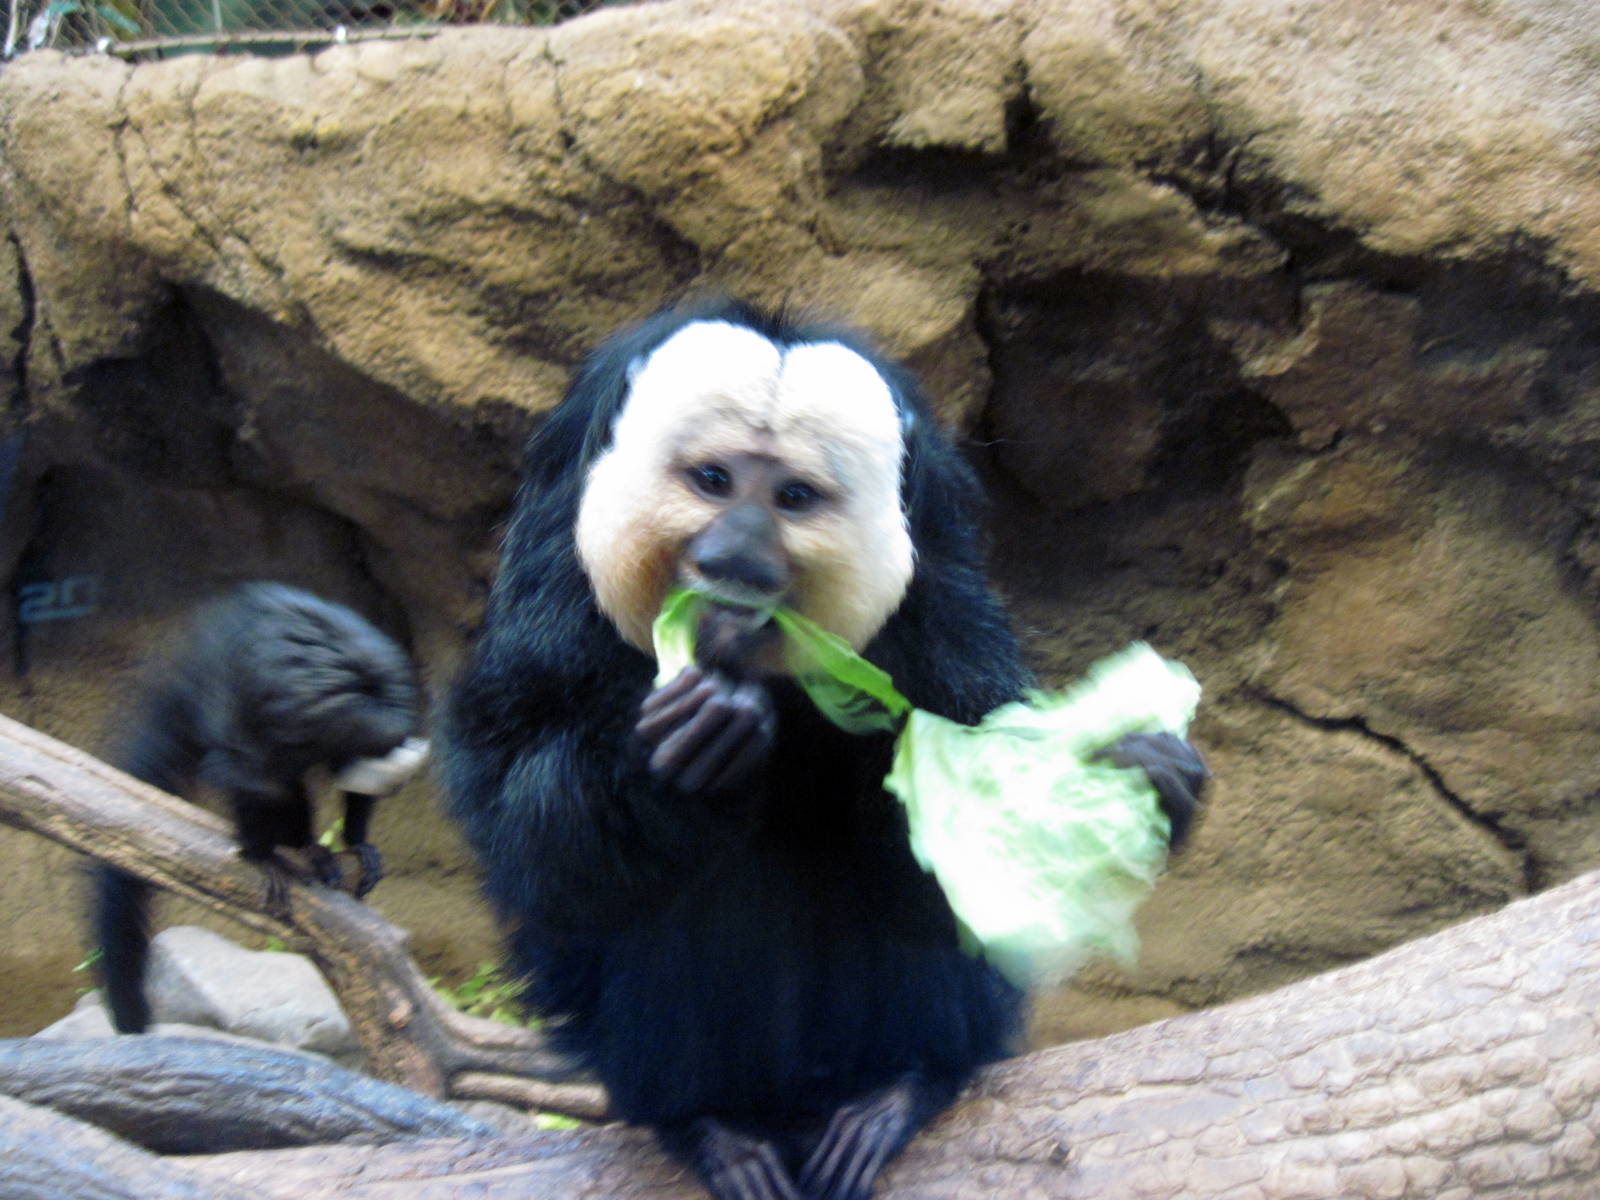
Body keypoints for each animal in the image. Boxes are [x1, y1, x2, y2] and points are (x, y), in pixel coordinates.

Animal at [441, 299, 1208, 1200]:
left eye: (794, 498)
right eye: (713, 481)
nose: (735, 558)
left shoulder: (938, 598)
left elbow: (958, 860)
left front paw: (1140, 777)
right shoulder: (552, 577)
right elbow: (530, 840)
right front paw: (683, 754)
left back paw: (899, 1090)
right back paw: (716, 1127)